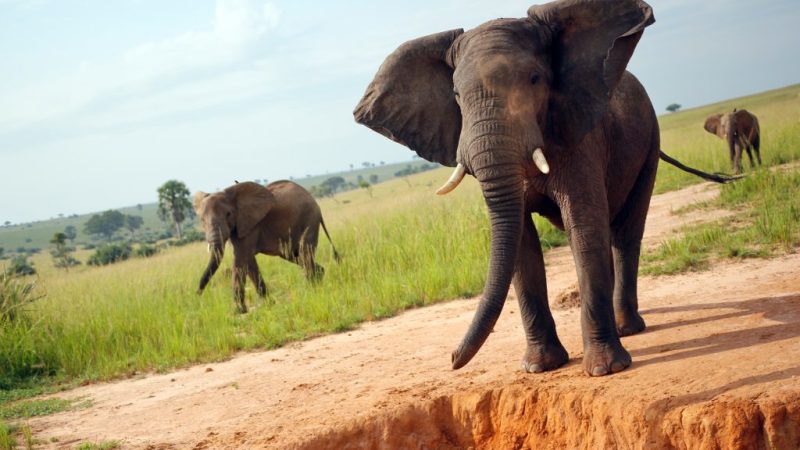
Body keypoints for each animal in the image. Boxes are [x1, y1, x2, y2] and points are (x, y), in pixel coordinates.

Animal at [198, 180, 342, 312]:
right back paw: (319, 277)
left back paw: (311, 289)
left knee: (304, 252)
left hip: (309, 219)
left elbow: (240, 259)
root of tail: (312, 198)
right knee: (295, 255)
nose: (197, 294)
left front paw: (239, 311)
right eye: (202, 221)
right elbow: (248, 261)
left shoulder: (250, 224)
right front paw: (268, 304)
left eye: (228, 214)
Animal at [354, 0, 736, 376]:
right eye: (457, 95)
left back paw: (628, 327)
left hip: (650, 141)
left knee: (626, 231)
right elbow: (522, 242)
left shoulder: (578, 134)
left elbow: (583, 227)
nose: (451, 359)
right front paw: (540, 367)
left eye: (535, 79)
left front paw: (606, 369)